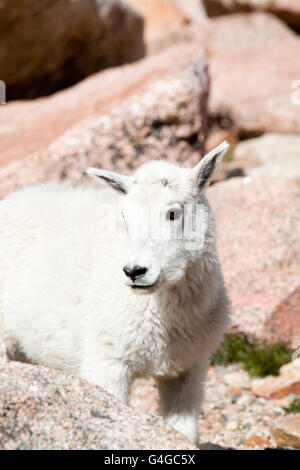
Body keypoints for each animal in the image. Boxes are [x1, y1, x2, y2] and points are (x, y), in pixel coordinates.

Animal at [0, 141, 230, 442]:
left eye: (173, 213)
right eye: (125, 217)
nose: (135, 271)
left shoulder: (188, 367)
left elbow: (185, 432)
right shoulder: (107, 361)